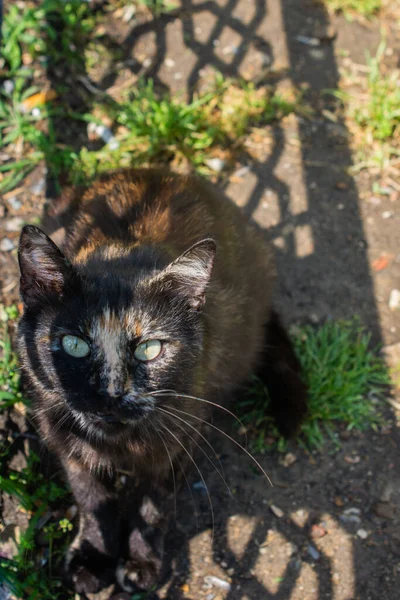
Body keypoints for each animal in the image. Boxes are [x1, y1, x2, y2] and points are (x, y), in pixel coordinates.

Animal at [17, 166, 308, 592]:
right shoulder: (64, 437)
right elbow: (93, 500)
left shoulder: (180, 436)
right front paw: (93, 558)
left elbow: (152, 505)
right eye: (74, 344)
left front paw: (141, 564)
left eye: (149, 349)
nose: (112, 392)